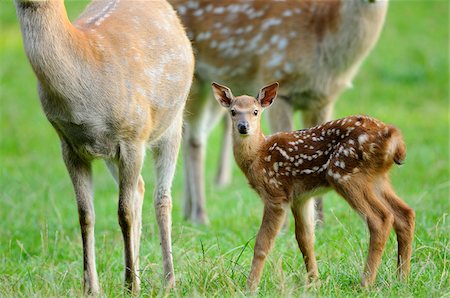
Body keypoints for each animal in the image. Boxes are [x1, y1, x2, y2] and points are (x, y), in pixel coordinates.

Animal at [13, 0, 193, 294]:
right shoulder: (69, 146)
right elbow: (85, 215)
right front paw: (91, 287)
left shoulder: (132, 136)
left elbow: (124, 213)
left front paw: (130, 286)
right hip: (112, 154)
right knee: (140, 188)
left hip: (172, 121)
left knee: (162, 198)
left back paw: (169, 281)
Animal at [171, 0, 388, 224]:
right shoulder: (278, 80)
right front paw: (286, 223)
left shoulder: (322, 99)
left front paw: (319, 222)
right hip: (195, 79)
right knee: (195, 139)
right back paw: (199, 215)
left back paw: (187, 211)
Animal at [214, 81, 414, 292]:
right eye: (233, 111)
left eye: (255, 111)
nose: (243, 127)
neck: (258, 155)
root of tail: (393, 138)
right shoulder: (300, 198)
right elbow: (305, 239)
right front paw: (314, 283)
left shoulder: (276, 194)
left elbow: (262, 244)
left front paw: (250, 287)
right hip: (377, 178)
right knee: (405, 214)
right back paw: (402, 279)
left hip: (345, 174)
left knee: (380, 219)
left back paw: (365, 283)